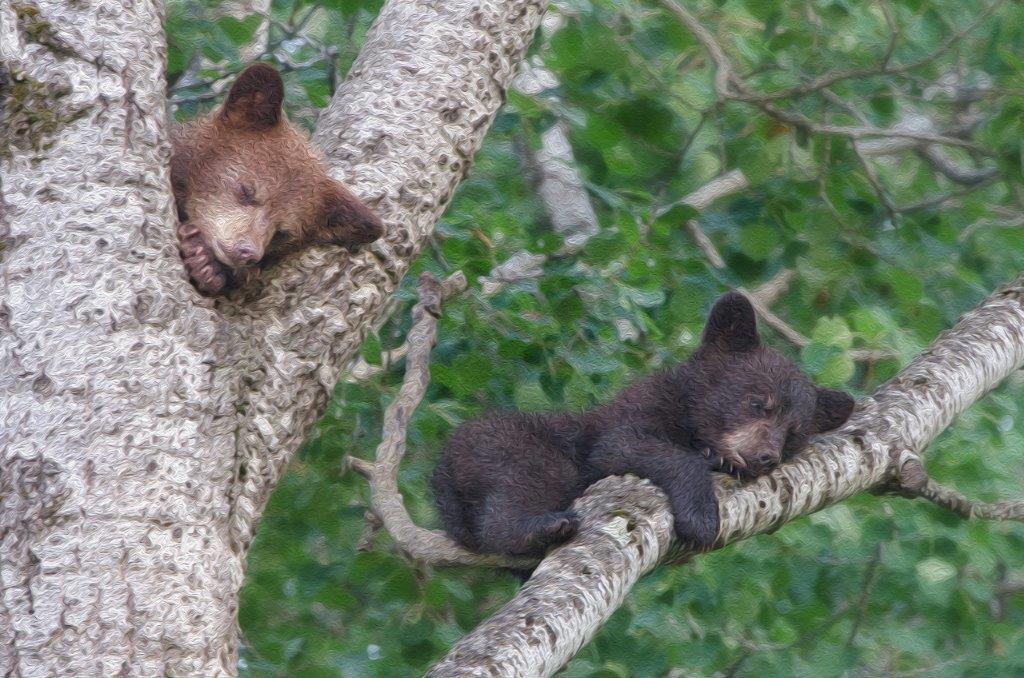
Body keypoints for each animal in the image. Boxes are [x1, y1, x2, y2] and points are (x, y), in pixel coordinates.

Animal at [431, 292, 856, 557]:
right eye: (758, 403)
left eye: (794, 432)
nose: (767, 456)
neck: (688, 416)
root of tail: (440, 469)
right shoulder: (631, 415)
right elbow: (625, 446)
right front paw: (702, 517)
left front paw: (719, 459)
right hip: (506, 445)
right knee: (527, 483)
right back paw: (543, 526)